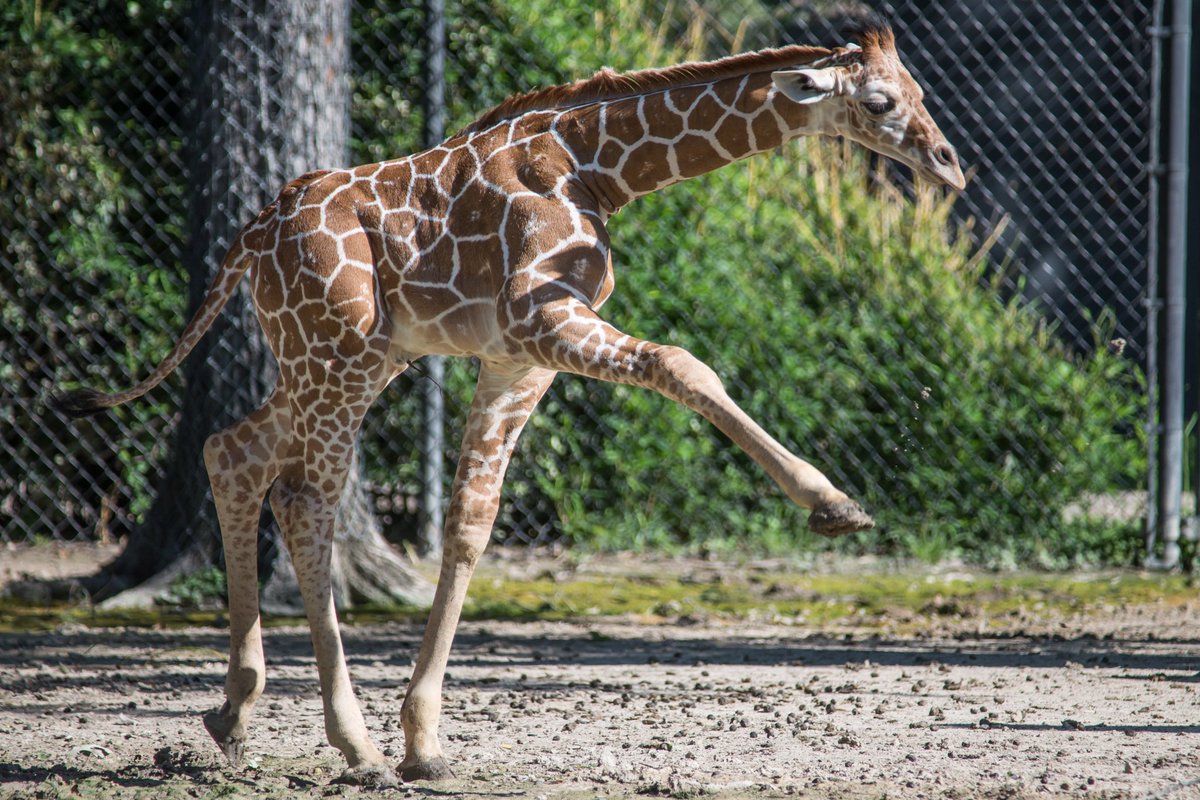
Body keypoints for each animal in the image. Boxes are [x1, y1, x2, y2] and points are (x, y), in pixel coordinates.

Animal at [54, 18, 964, 787]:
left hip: (351, 360)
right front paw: (833, 503)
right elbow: (684, 363)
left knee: (234, 451)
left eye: (919, 87)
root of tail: (251, 235)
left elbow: (471, 522)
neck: (599, 166)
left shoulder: (515, 359)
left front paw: (425, 740)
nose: (950, 164)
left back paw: (236, 715)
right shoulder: (541, 318)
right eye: (879, 102)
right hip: (338, 355)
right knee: (305, 499)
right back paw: (352, 745)